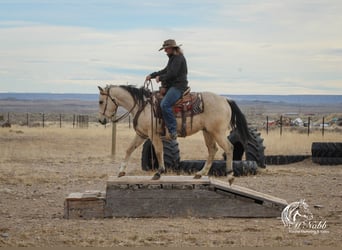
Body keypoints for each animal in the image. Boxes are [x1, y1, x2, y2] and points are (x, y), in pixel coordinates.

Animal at [97, 83, 250, 182]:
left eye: (100, 101)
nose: (101, 120)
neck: (143, 106)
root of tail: (225, 99)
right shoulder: (141, 135)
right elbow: (129, 149)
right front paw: (121, 171)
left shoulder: (153, 135)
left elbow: (159, 151)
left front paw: (159, 172)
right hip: (208, 132)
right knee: (212, 150)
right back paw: (200, 173)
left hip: (218, 132)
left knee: (229, 147)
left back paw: (230, 175)